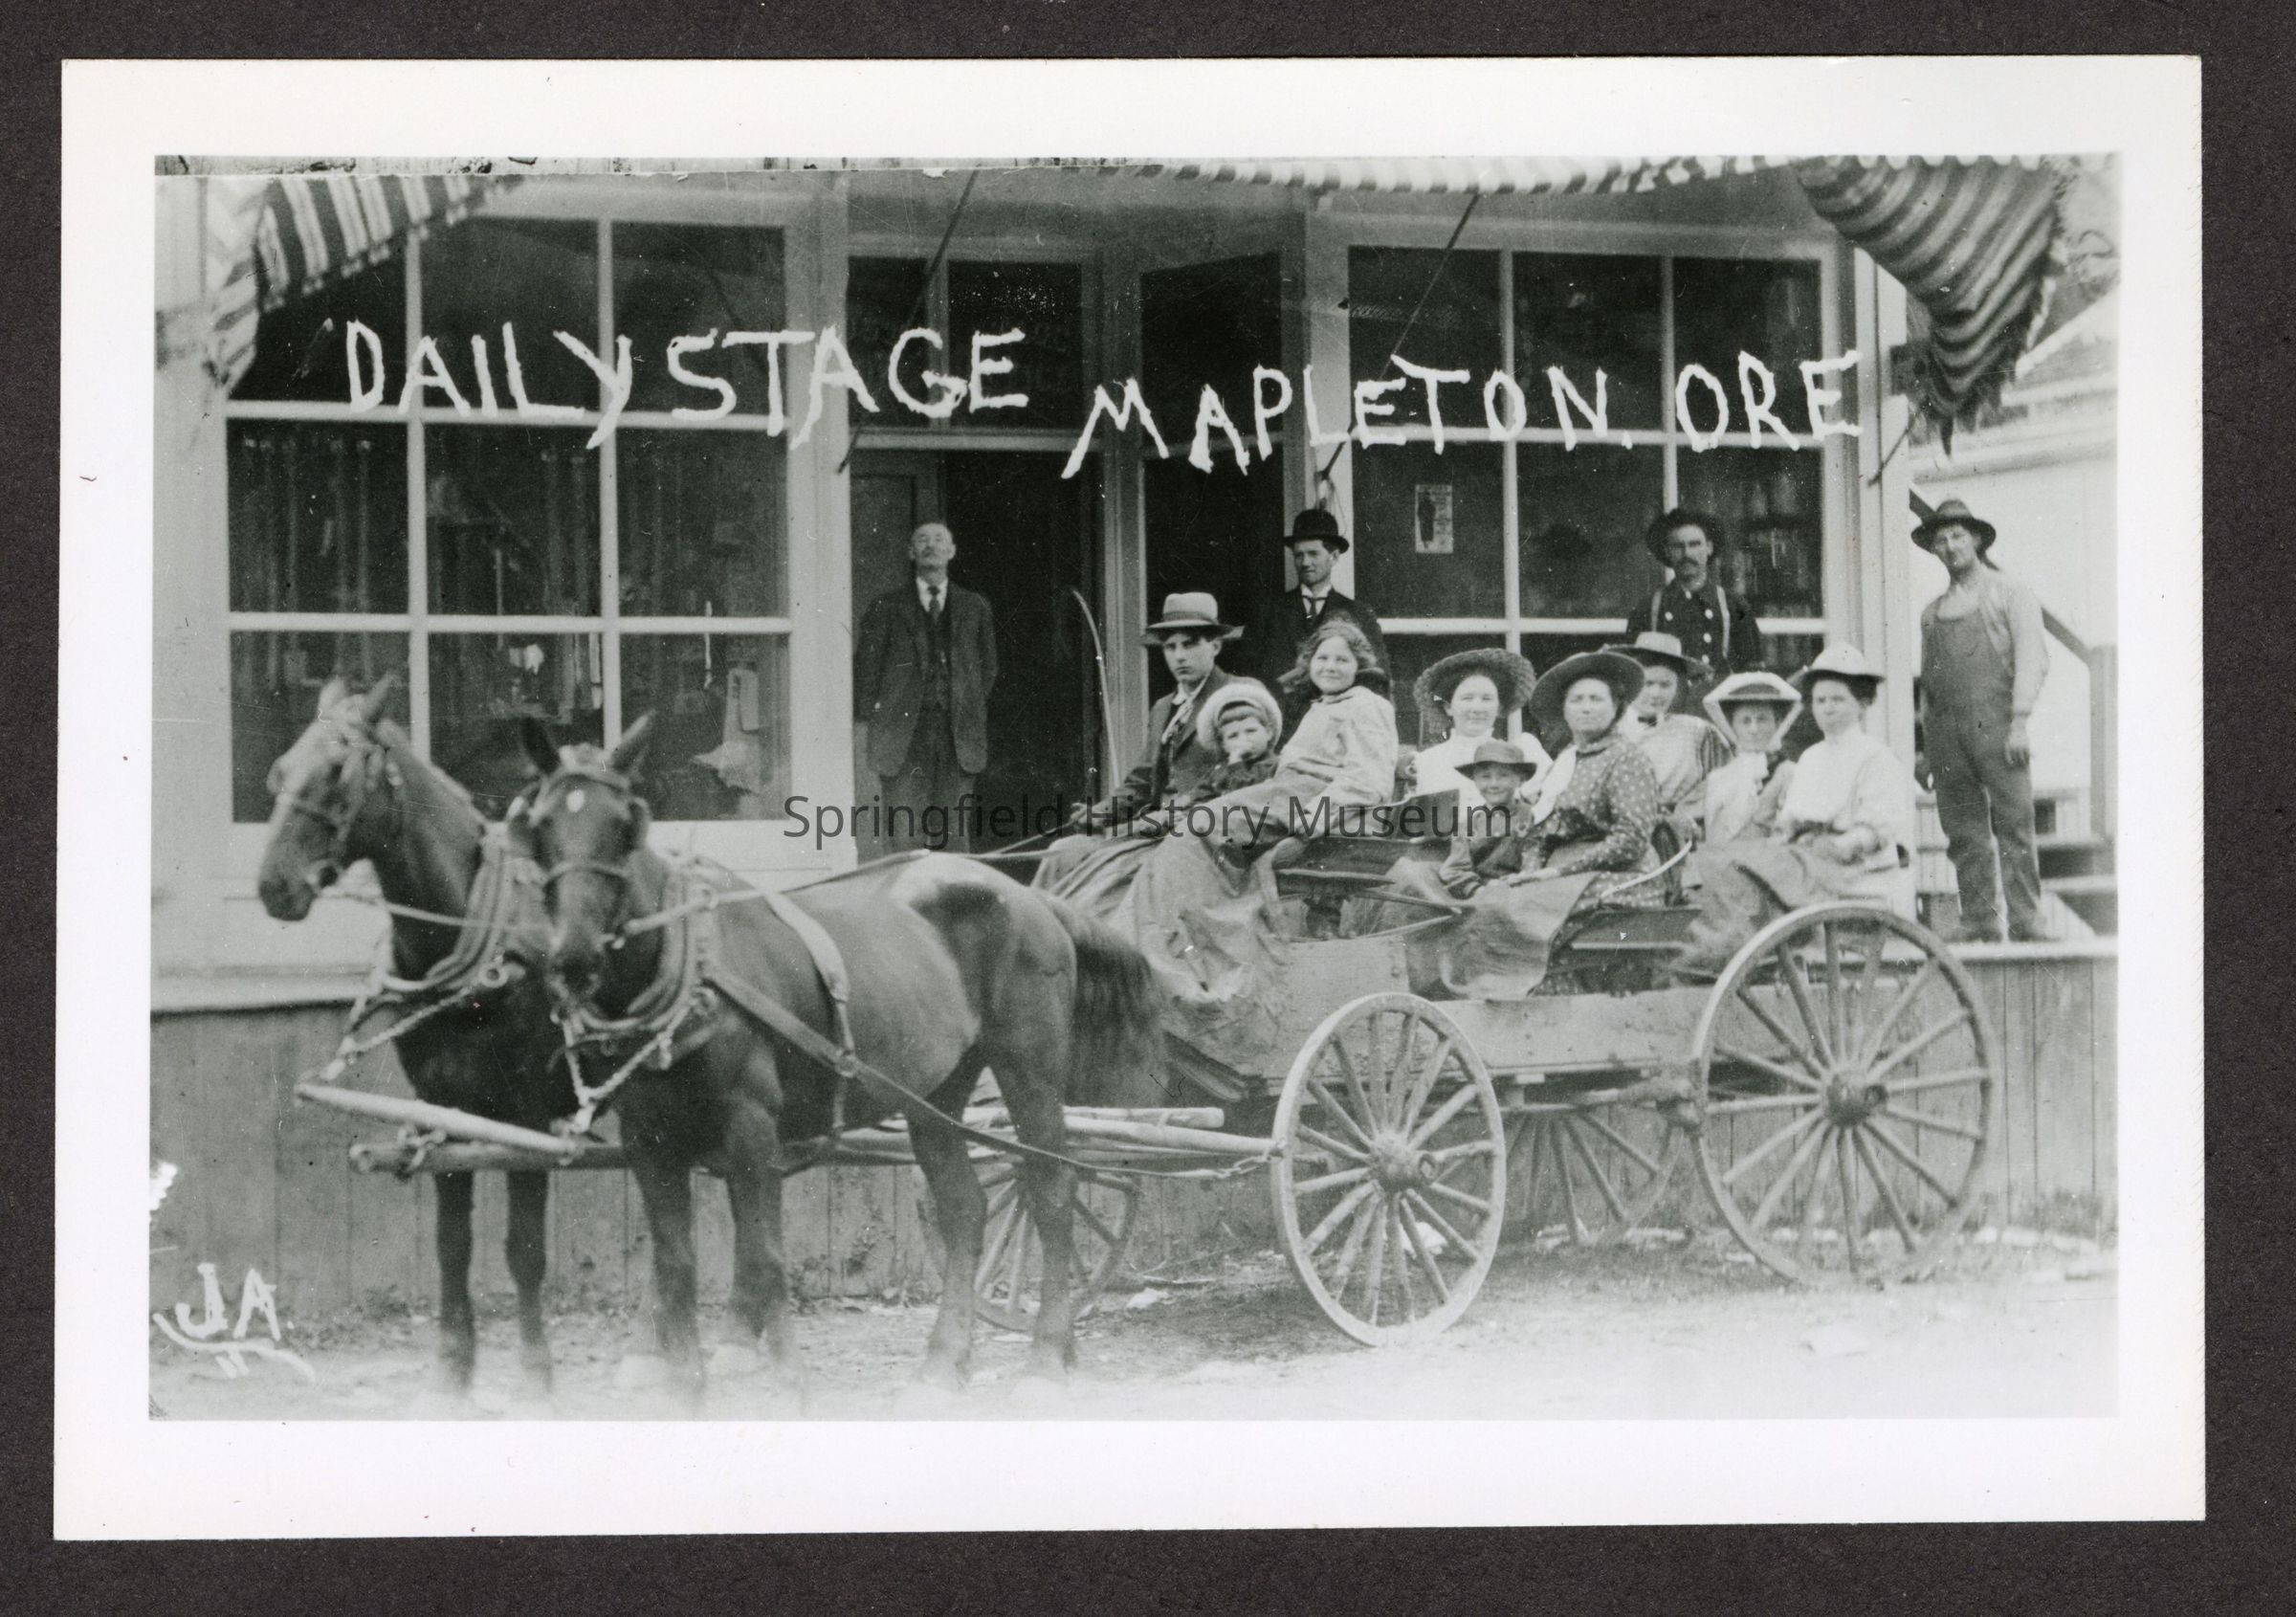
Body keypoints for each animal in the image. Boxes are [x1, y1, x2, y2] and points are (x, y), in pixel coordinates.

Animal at [255, 675, 573, 1416]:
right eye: (280, 769)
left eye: (339, 771)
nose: (274, 886)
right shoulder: (440, 1109)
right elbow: (452, 1245)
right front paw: (452, 1373)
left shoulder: (526, 1115)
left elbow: (524, 1250)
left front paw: (538, 1377)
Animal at [509, 717, 1164, 1411]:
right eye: (540, 824)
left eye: (625, 823)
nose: (574, 957)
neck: (694, 970)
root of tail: (1030, 897)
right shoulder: (650, 1140)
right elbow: (676, 1263)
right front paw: (686, 1391)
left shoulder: (750, 1129)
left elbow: (764, 1258)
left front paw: (787, 1384)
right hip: (936, 1088)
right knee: (965, 1209)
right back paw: (943, 1364)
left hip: (1028, 1071)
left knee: (1050, 1193)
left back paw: (1045, 1357)